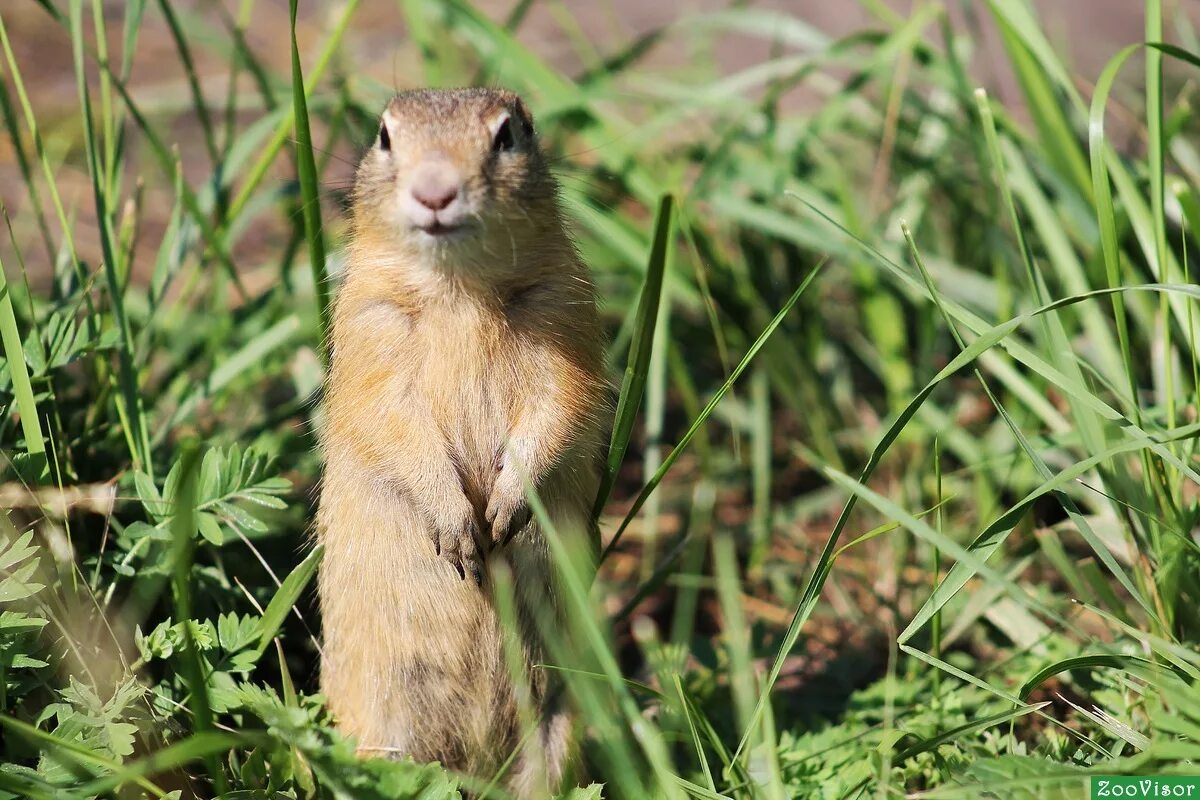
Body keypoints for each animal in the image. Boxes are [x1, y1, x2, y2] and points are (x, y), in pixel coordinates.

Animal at [316, 87, 609, 796]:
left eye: (509, 134)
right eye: (384, 135)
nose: (435, 192)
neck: (458, 291)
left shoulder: (566, 315)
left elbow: (560, 406)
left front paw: (505, 507)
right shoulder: (368, 330)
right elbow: (391, 421)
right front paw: (457, 527)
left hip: (558, 728)